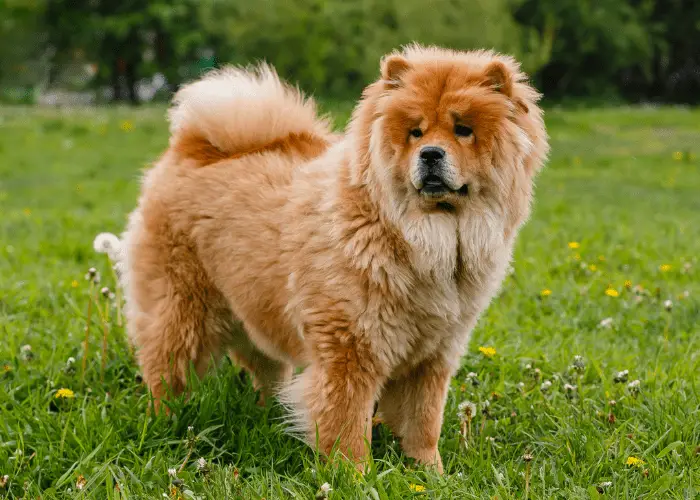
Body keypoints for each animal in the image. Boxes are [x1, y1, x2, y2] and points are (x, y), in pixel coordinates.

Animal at [123, 45, 548, 470]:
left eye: (463, 130)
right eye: (416, 132)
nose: (430, 154)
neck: (424, 238)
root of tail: (191, 147)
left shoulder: (433, 354)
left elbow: (424, 423)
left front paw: (429, 472)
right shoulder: (350, 348)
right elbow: (347, 423)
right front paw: (355, 474)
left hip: (254, 310)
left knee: (265, 370)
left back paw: (267, 415)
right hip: (183, 307)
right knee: (166, 367)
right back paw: (165, 422)